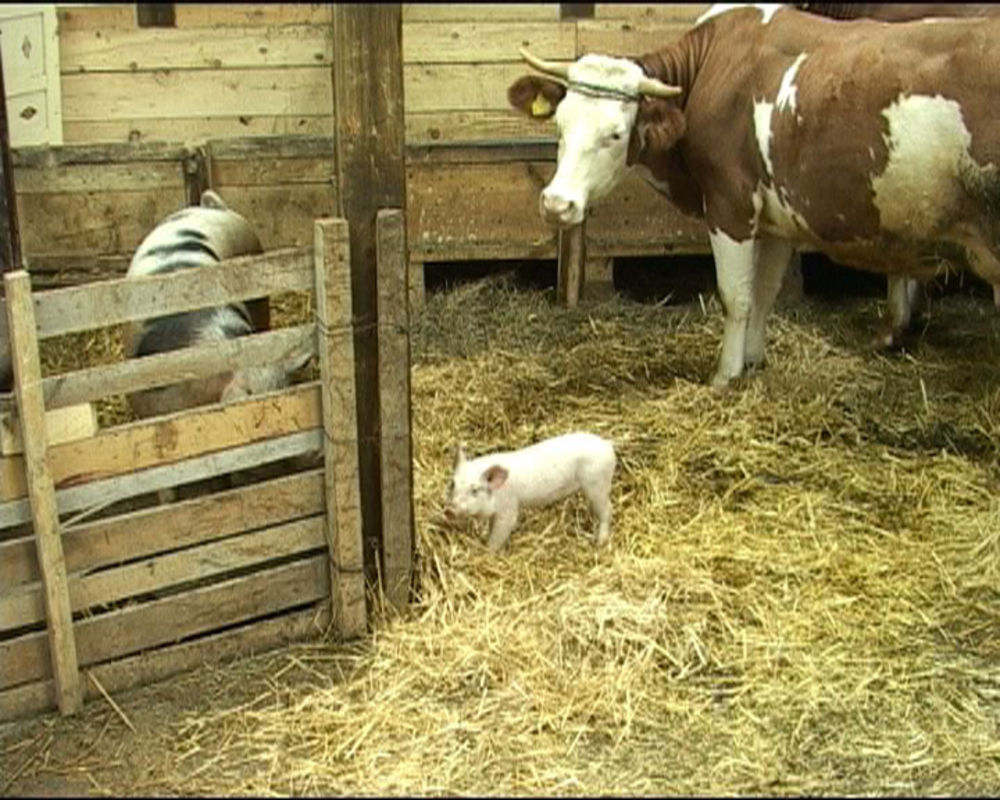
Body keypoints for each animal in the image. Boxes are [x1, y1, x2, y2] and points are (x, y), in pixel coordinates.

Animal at [508, 1, 1000, 386]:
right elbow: (764, 293)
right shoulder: (777, 219)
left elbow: (736, 295)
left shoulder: (730, 203)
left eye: (614, 134)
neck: (712, 67)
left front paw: (724, 376)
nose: (557, 204)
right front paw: (753, 361)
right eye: (560, 123)